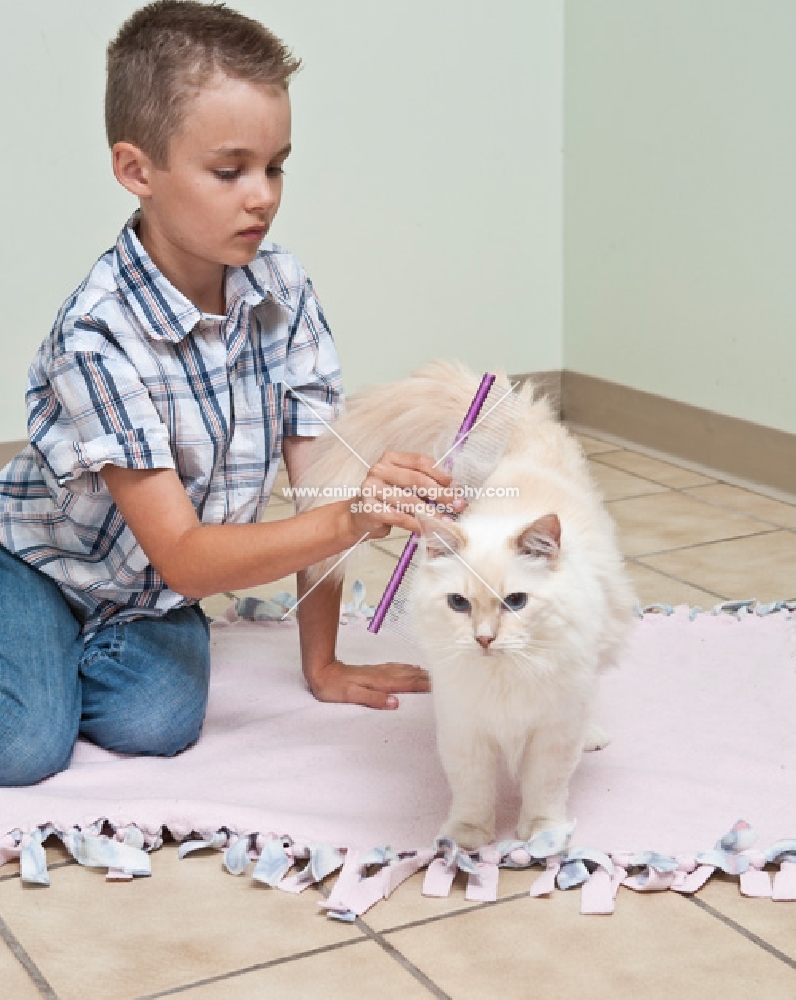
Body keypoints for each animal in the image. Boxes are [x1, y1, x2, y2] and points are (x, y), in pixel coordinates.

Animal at [296, 364, 636, 848]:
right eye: (459, 603)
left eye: (515, 602)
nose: (485, 639)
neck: (504, 676)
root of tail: (519, 437)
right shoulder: (465, 729)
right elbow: (472, 791)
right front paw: (465, 841)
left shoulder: (552, 731)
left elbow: (545, 789)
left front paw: (542, 838)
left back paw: (592, 738)